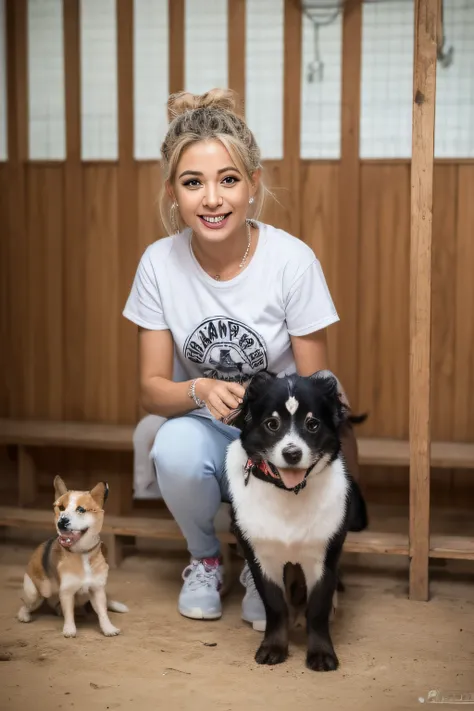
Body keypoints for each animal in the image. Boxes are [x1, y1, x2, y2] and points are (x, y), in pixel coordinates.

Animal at [17, 476, 128, 636]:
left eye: (81, 509)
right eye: (61, 508)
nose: (61, 522)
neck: (82, 553)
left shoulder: (97, 590)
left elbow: (103, 612)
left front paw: (108, 628)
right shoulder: (67, 591)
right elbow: (69, 613)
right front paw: (69, 629)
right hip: (34, 594)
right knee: (26, 605)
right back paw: (24, 615)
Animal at [225, 372, 366, 672]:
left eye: (312, 424)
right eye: (272, 424)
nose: (292, 453)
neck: (288, 493)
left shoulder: (324, 556)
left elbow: (318, 608)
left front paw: (321, 653)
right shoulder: (261, 556)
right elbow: (275, 605)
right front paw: (274, 647)